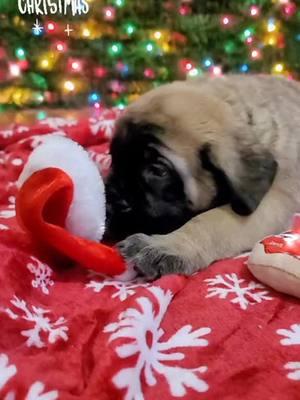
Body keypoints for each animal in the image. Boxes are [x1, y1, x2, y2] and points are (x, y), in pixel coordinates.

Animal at [104, 76, 300, 282]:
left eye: (159, 171)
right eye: (114, 159)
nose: (112, 201)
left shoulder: (270, 202)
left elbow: (210, 221)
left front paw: (166, 246)